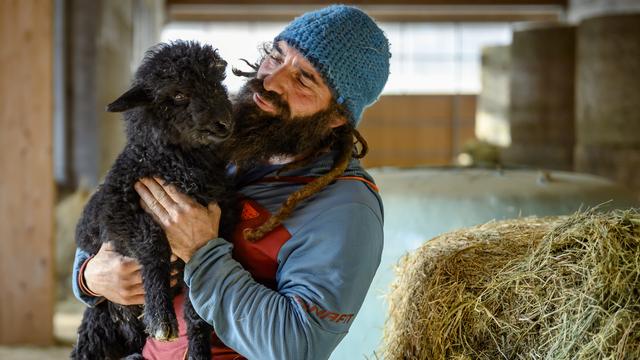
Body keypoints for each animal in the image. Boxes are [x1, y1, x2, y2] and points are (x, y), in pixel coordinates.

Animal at [72, 40, 238, 360]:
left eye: (216, 84)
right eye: (178, 94)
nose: (224, 124)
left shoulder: (219, 222)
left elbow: (197, 303)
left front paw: (198, 349)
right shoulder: (113, 210)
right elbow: (153, 241)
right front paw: (161, 317)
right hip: (96, 329)